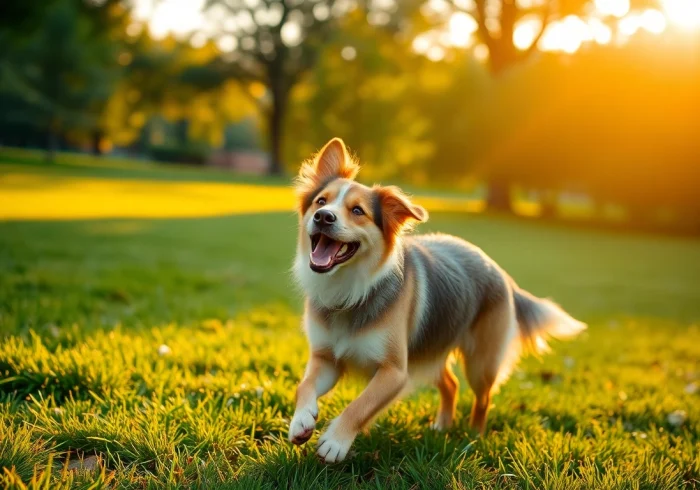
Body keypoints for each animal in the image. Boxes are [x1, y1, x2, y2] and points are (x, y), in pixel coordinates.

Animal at [288, 139, 588, 464]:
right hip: (432, 351)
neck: (351, 289)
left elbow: (361, 405)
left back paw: (473, 435)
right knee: (451, 384)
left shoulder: (395, 372)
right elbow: (304, 385)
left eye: (358, 211)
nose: (323, 217)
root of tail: (502, 273)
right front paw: (301, 420)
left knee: (484, 397)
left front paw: (335, 441)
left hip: (480, 363)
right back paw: (442, 427)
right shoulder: (326, 359)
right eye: (321, 202)